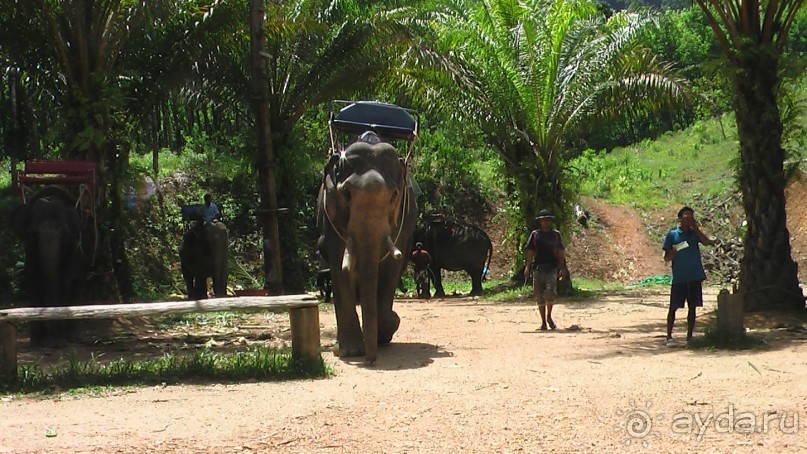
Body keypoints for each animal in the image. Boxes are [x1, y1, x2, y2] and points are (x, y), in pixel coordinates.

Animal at [8, 186, 94, 346]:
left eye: (65, 235)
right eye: (32, 233)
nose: (52, 342)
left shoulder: (72, 251)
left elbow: (63, 283)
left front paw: (56, 343)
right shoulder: (30, 252)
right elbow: (33, 281)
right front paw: (36, 342)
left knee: (77, 286)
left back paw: (72, 337)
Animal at [318, 133, 420, 364]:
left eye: (393, 195)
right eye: (346, 193)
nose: (371, 360)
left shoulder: (403, 222)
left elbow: (391, 269)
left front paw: (388, 327)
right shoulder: (331, 217)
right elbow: (339, 267)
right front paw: (348, 351)